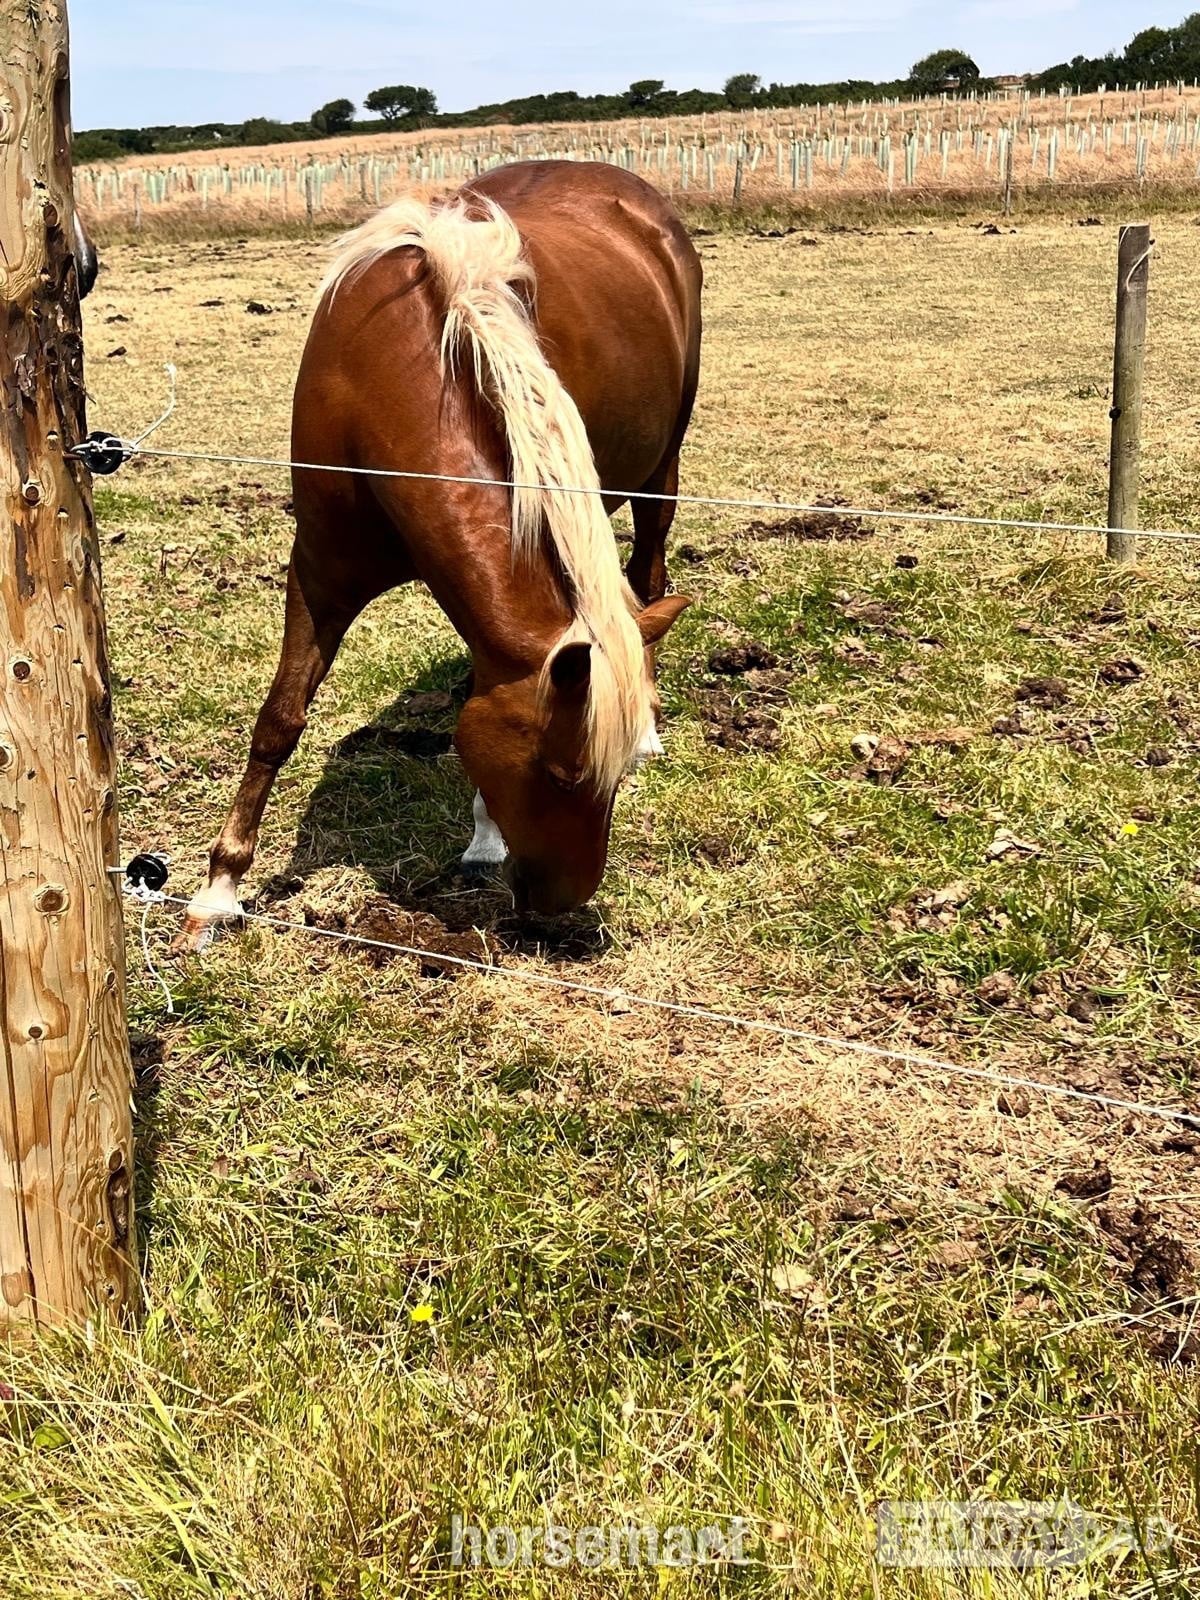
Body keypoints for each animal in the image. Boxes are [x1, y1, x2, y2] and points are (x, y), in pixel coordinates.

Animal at [175, 160, 702, 951]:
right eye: (561, 774)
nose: (562, 909)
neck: (379, 378)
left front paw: (484, 832)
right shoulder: (320, 573)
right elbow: (280, 720)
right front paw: (217, 893)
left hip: (659, 472)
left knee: (648, 574)